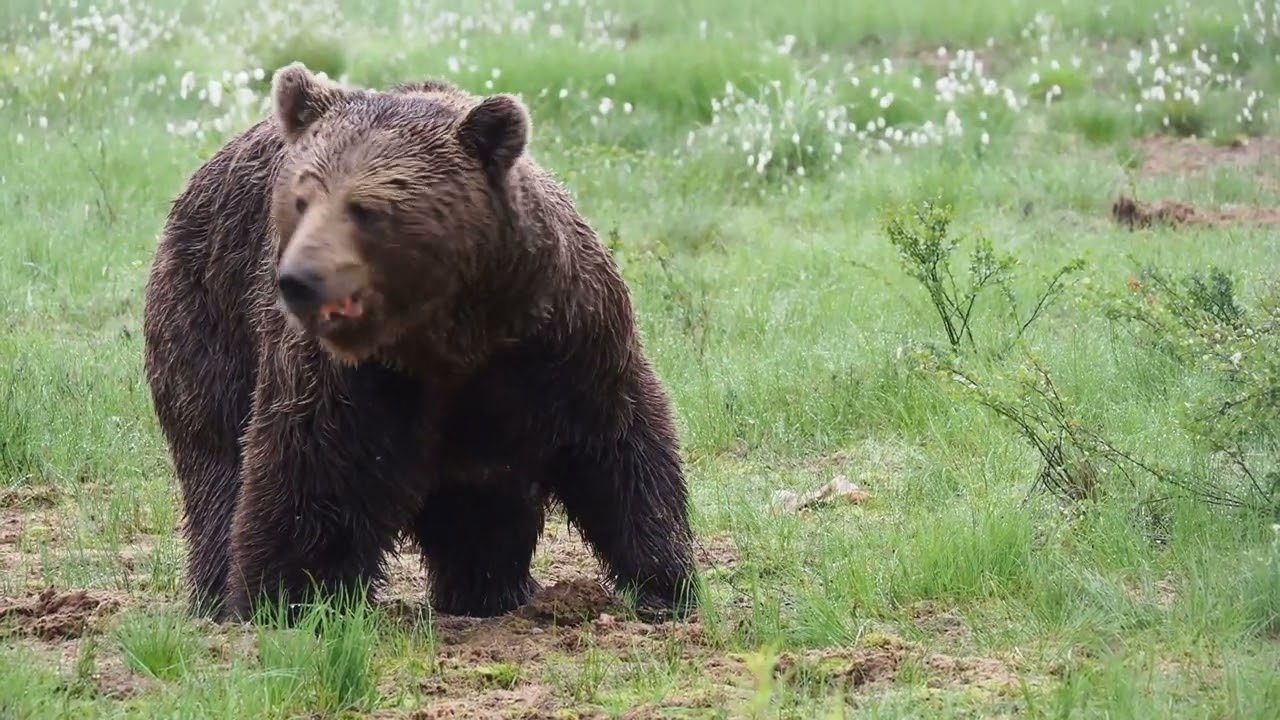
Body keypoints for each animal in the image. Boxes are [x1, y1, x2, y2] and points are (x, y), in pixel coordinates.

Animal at [141, 62, 700, 623]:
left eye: (366, 208)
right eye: (301, 199)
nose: (300, 280)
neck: (449, 336)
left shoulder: (561, 342)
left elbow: (619, 449)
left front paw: (665, 585)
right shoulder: (351, 379)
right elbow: (311, 471)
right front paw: (287, 600)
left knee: (480, 503)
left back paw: (491, 591)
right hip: (207, 313)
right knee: (216, 457)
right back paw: (216, 591)